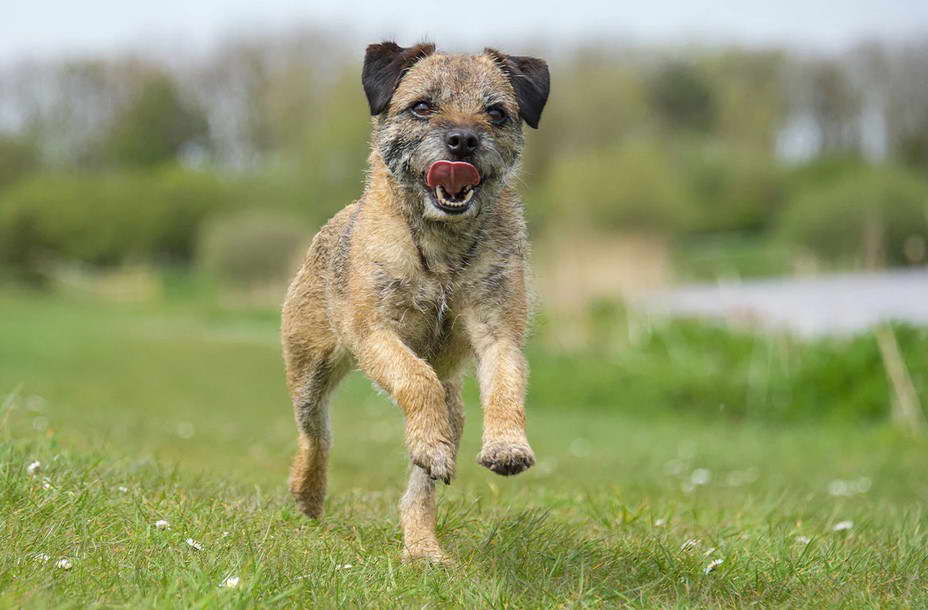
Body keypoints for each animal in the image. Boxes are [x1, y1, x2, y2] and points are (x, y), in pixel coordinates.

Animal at [280, 39, 548, 560]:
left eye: (496, 112)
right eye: (422, 107)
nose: (463, 141)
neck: (442, 244)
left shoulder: (498, 331)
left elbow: (506, 383)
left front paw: (507, 445)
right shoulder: (375, 333)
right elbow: (415, 378)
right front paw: (429, 439)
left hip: (454, 406)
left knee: (420, 487)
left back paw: (422, 546)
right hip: (309, 370)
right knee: (316, 434)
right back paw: (309, 494)